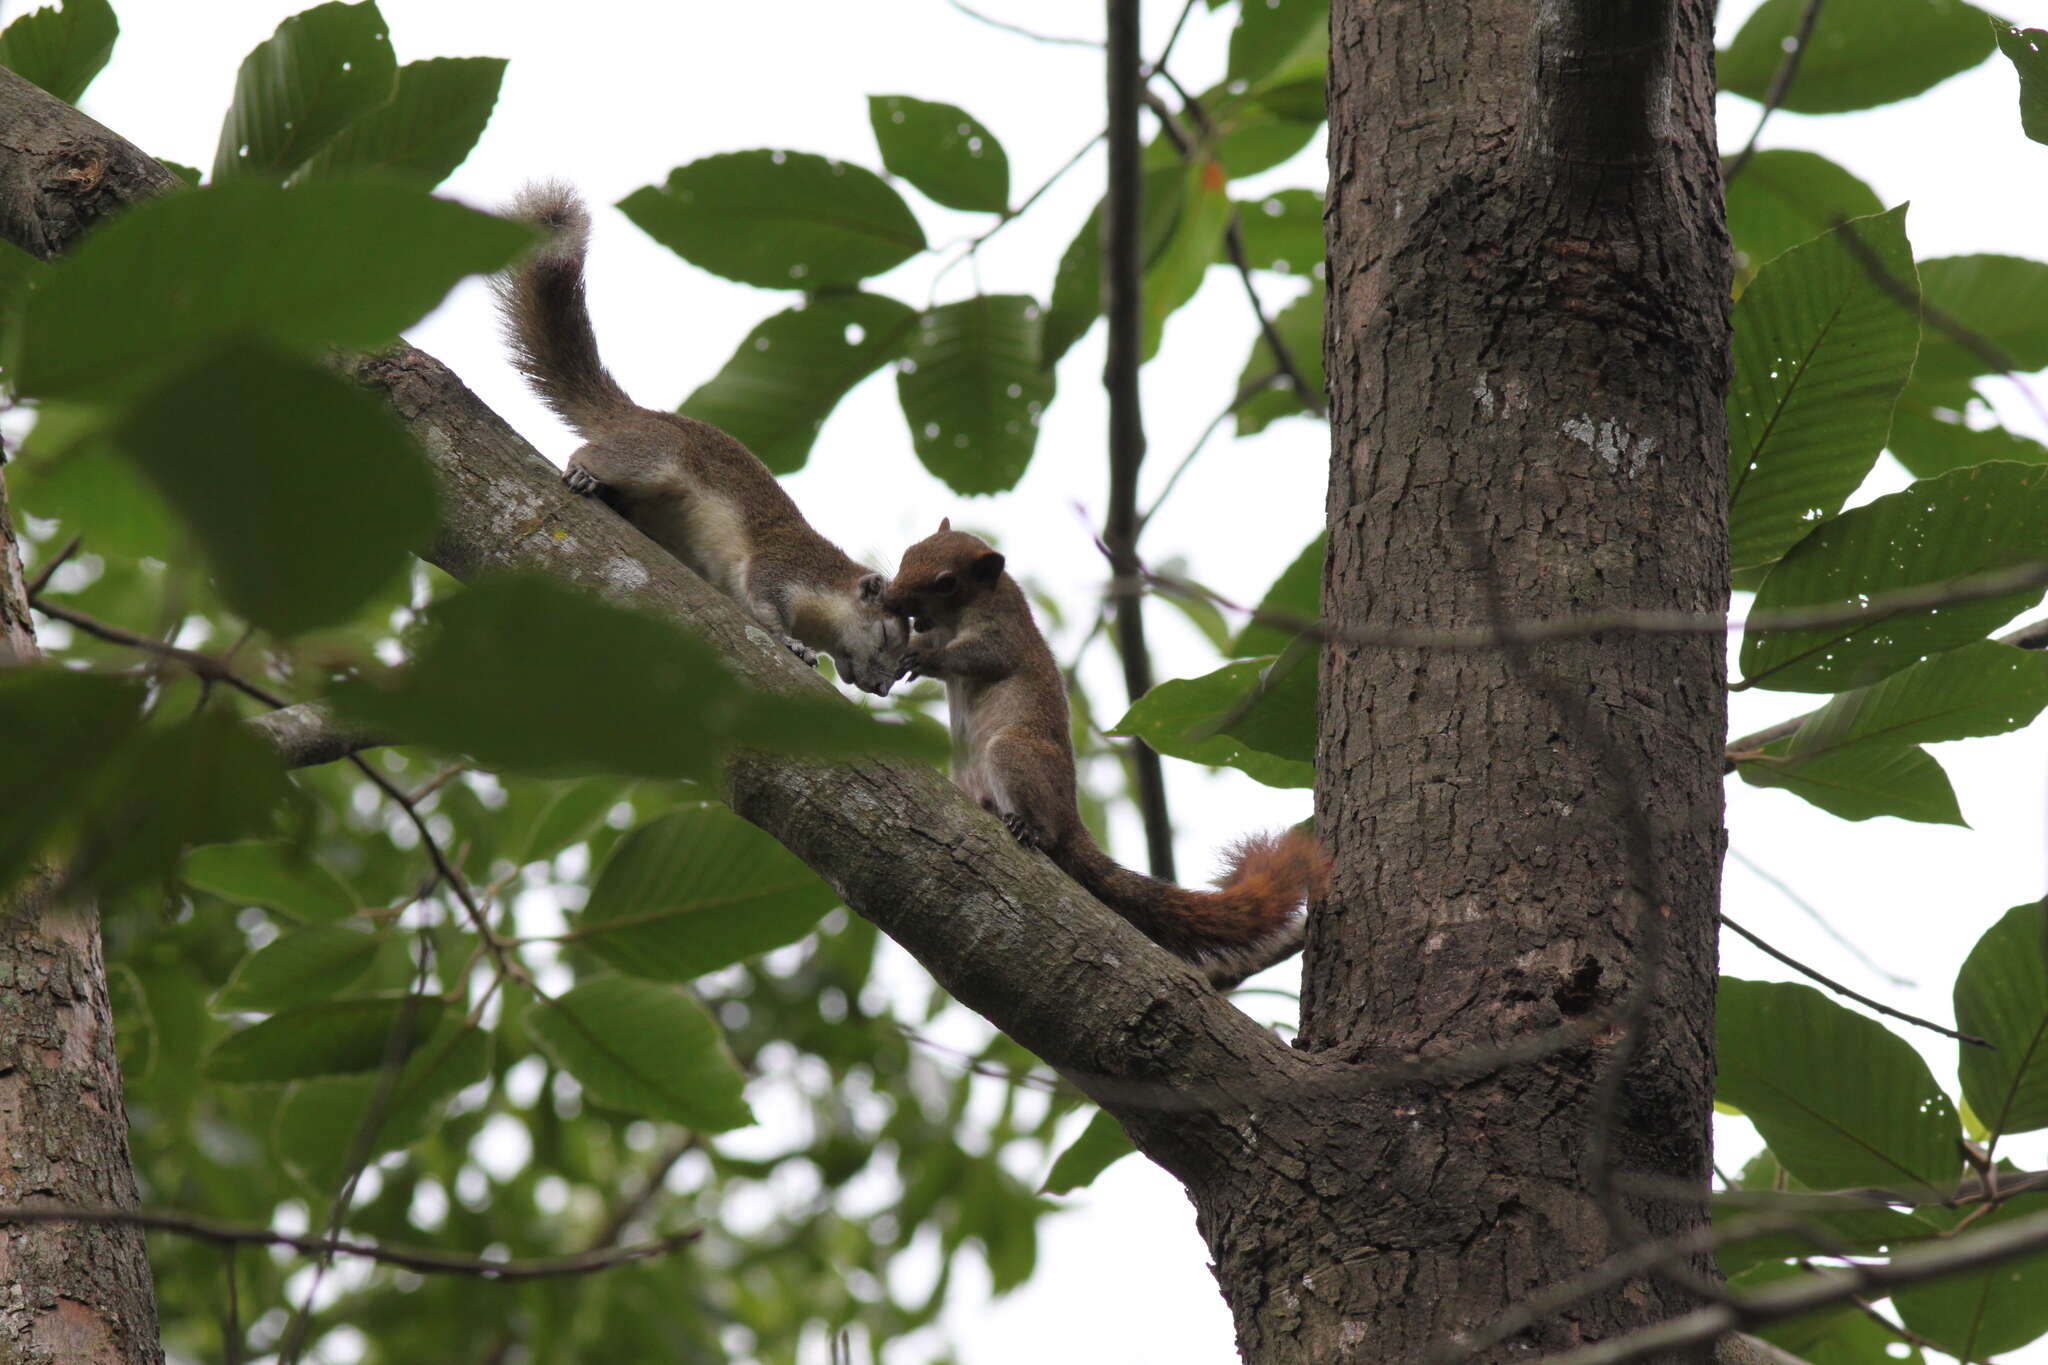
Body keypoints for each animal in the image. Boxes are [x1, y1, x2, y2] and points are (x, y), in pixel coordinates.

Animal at [491, 181, 909, 695]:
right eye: (887, 634)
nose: (881, 689)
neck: (828, 583)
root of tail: (637, 416)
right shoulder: (784, 565)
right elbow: (765, 604)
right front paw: (794, 644)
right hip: (655, 455)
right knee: (595, 452)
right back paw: (584, 473)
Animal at [884, 519, 1327, 982]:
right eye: (910, 551)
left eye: (946, 582)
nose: (890, 598)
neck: (960, 612)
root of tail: (1071, 817)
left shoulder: (1002, 633)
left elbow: (978, 656)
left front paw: (924, 658)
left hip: (1014, 753)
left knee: (1048, 829)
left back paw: (1030, 827)